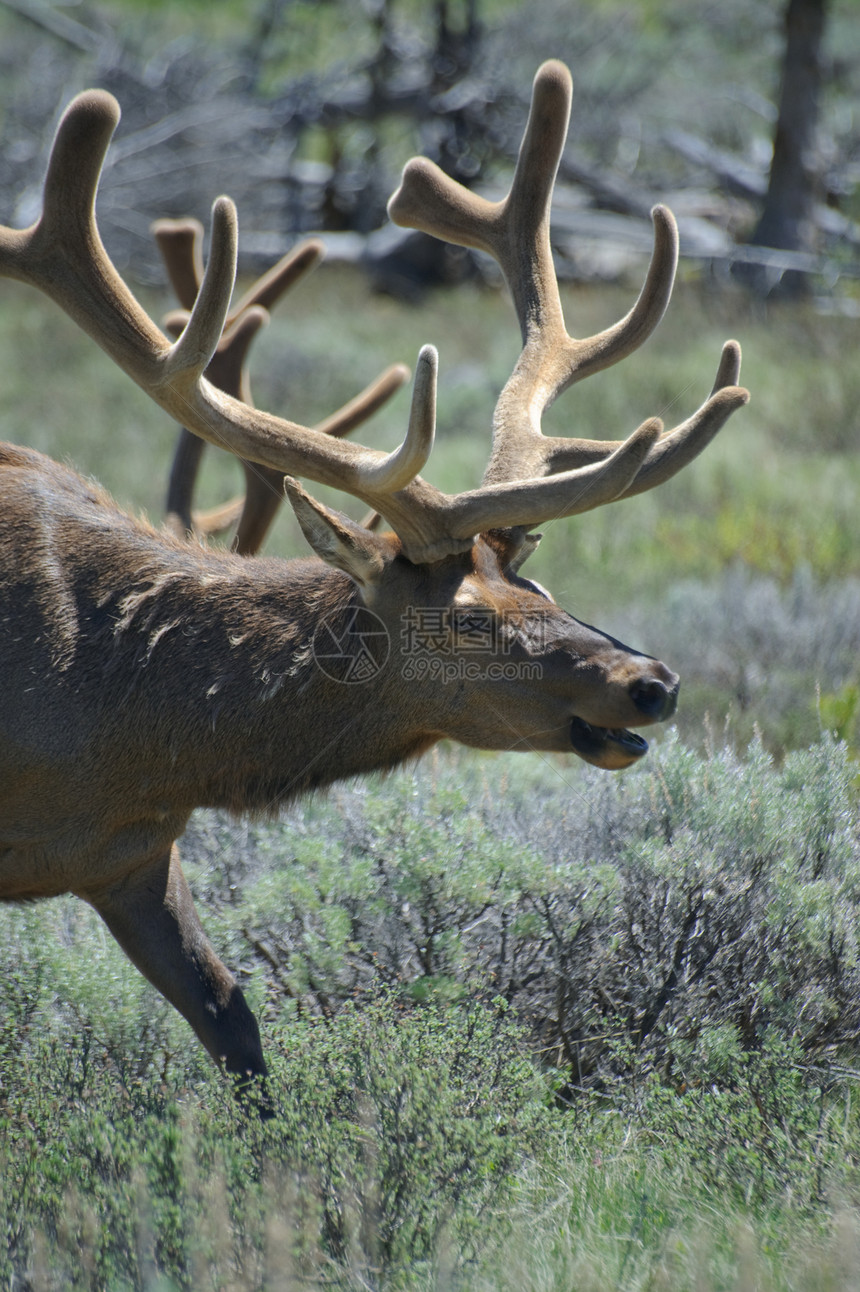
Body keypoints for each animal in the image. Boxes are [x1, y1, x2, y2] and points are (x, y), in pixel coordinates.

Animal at [0, 60, 743, 1090]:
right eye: (466, 618)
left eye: (540, 590)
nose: (652, 682)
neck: (115, 728)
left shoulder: (132, 851)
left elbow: (234, 1024)